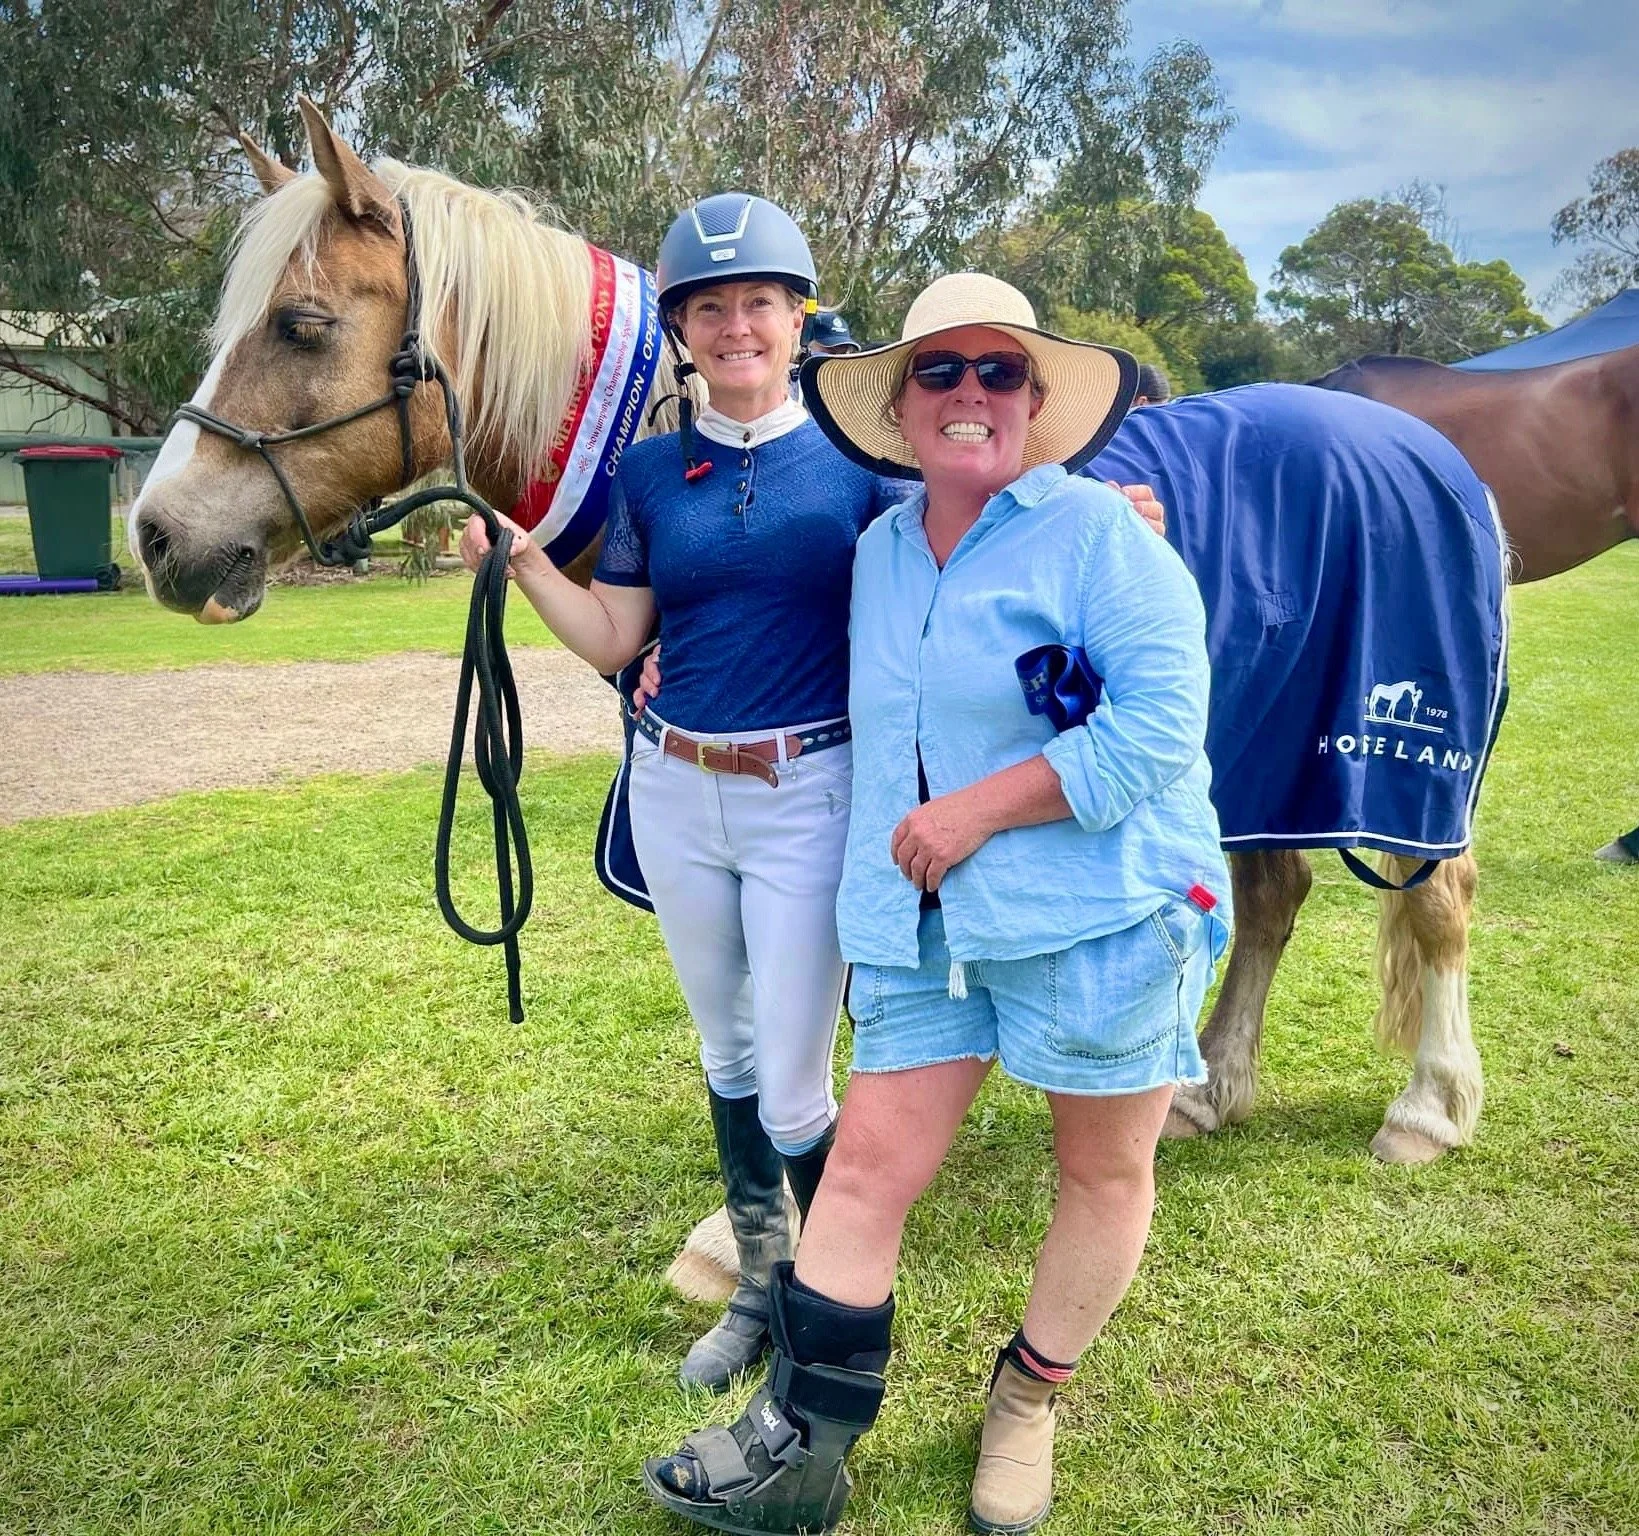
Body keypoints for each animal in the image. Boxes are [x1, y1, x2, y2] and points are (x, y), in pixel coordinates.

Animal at [132, 107, 1505, 1315]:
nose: (158, 538)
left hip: (1397, 766)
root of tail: (1426, 452)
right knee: (1273, 898)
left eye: (303, 322)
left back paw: (1427, 1109)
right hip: (1256, 764)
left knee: (1436, 899)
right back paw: (1207, 1092)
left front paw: (757, 1229)